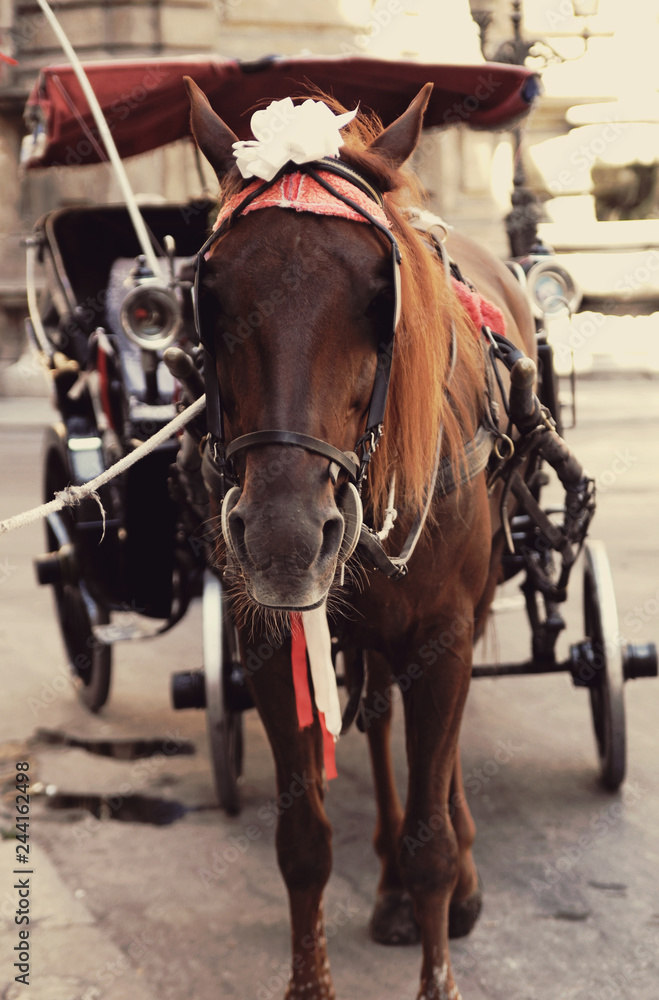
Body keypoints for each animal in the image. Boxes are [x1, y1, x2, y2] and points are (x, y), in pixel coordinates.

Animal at [184, 80, 536, 1000]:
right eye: (211, 297)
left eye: (381, 298)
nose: (283, 537)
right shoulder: (269, 642)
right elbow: (302, 841)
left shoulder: (444, 633)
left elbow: (431, 840)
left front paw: (443, 919)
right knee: (376, 715)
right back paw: (385, 885)